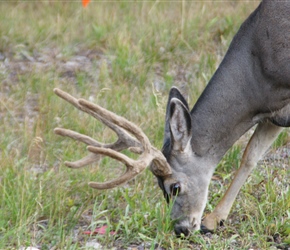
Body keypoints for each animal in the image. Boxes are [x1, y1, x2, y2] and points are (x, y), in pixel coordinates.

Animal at [53, 0, 290, 236]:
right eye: (159, 186)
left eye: (174, 187)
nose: (180, 228)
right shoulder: (274, 114)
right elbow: (250, 156)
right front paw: (213, 219)